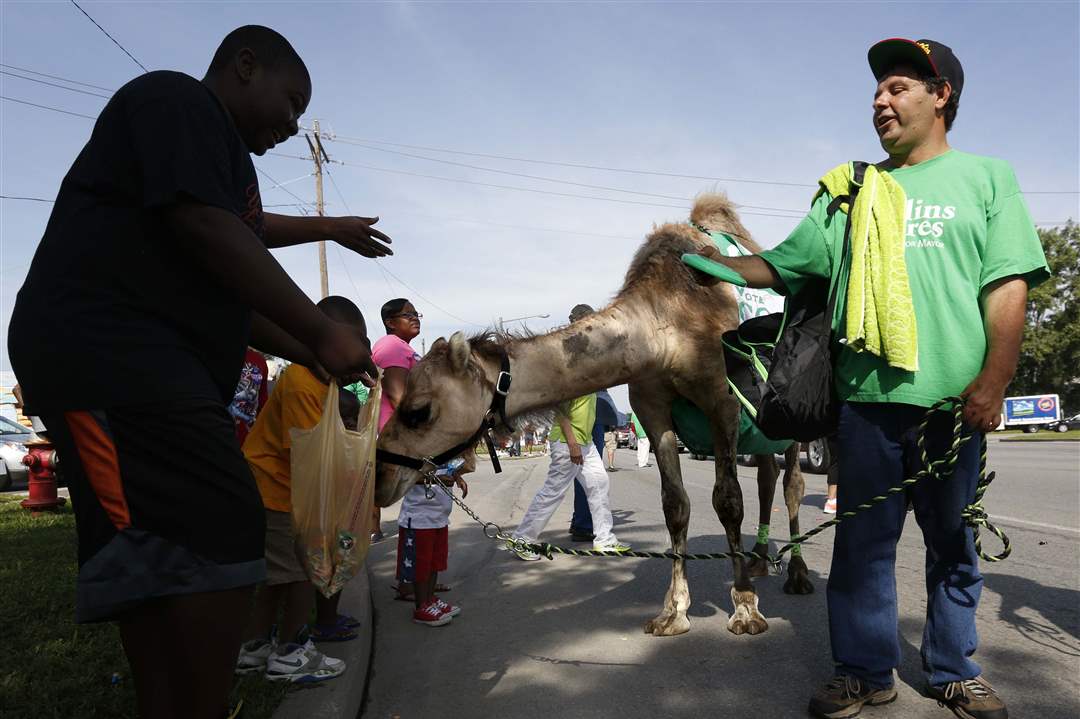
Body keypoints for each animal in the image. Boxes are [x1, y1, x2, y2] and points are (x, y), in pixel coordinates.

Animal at [378, 190, 812, 634]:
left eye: (418, 411)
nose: (382, 475)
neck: (665, 325)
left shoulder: (722, 401)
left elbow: (728, 501)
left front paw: (745, 609)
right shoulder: (652, 408)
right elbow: (675, 505)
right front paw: (673, 612)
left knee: (791, 483)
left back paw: (796, 575)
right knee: (767, 474)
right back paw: (759, 561)